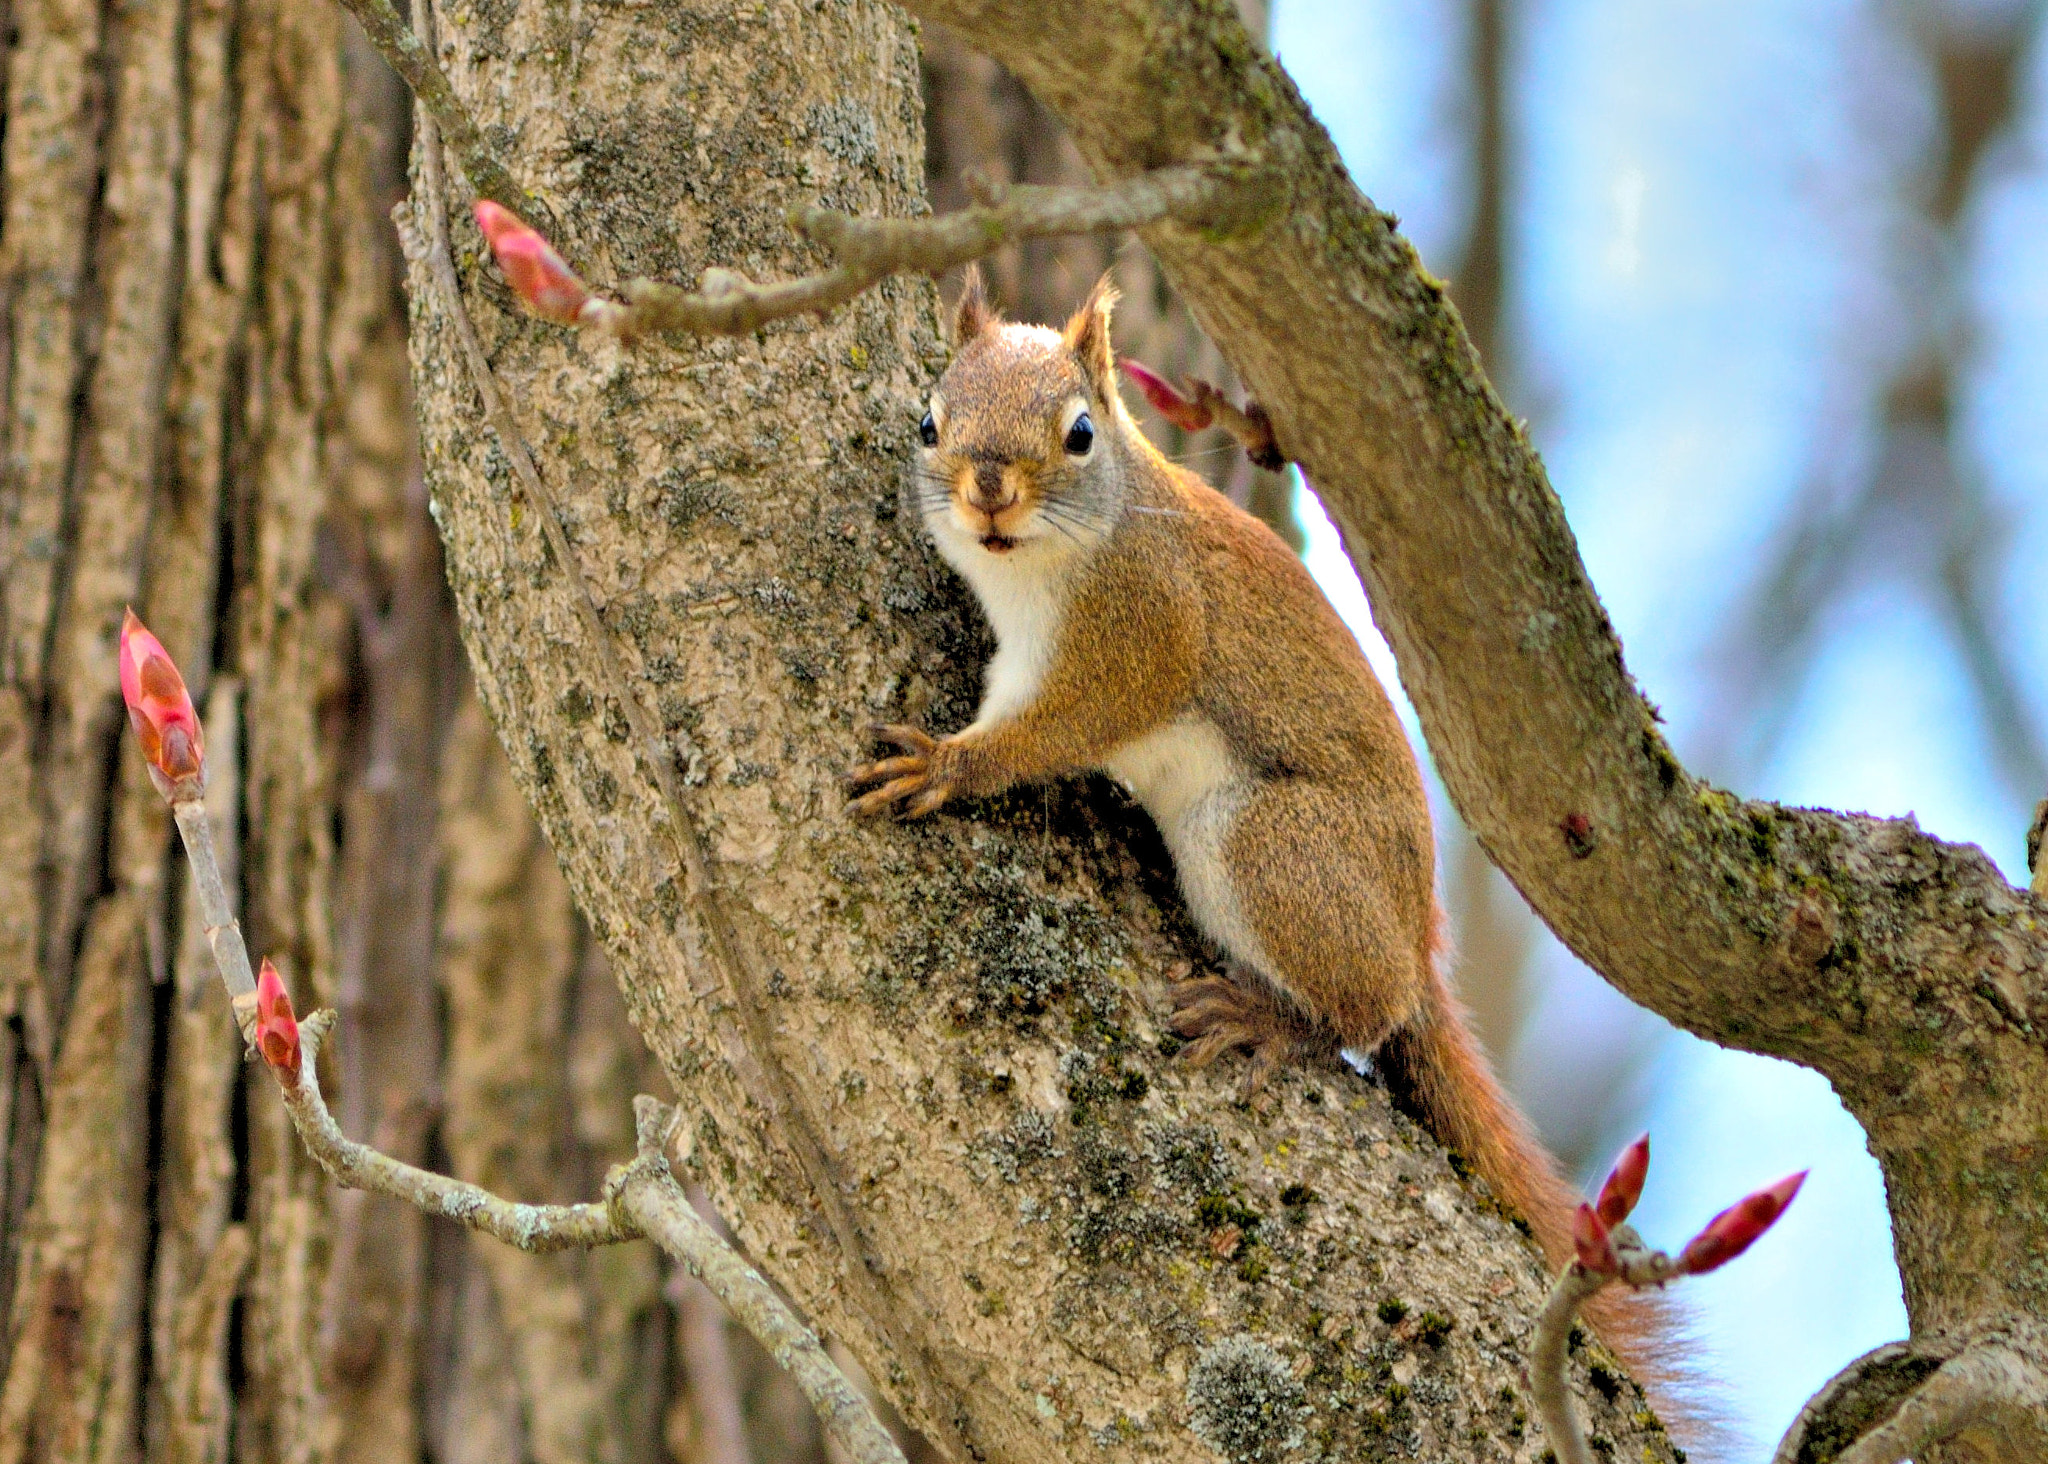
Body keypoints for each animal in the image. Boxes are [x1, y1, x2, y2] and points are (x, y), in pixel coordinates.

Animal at [847, 268, 1679, 1400]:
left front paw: (946, 765)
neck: (1045, 563)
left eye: (1078, 433)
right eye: (929, 421)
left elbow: (1052, 731)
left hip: (1265, 845)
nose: (987, 490)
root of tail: (1416, 936)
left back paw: (1273, 1019)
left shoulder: (1137, 635)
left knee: (1367, 1009)